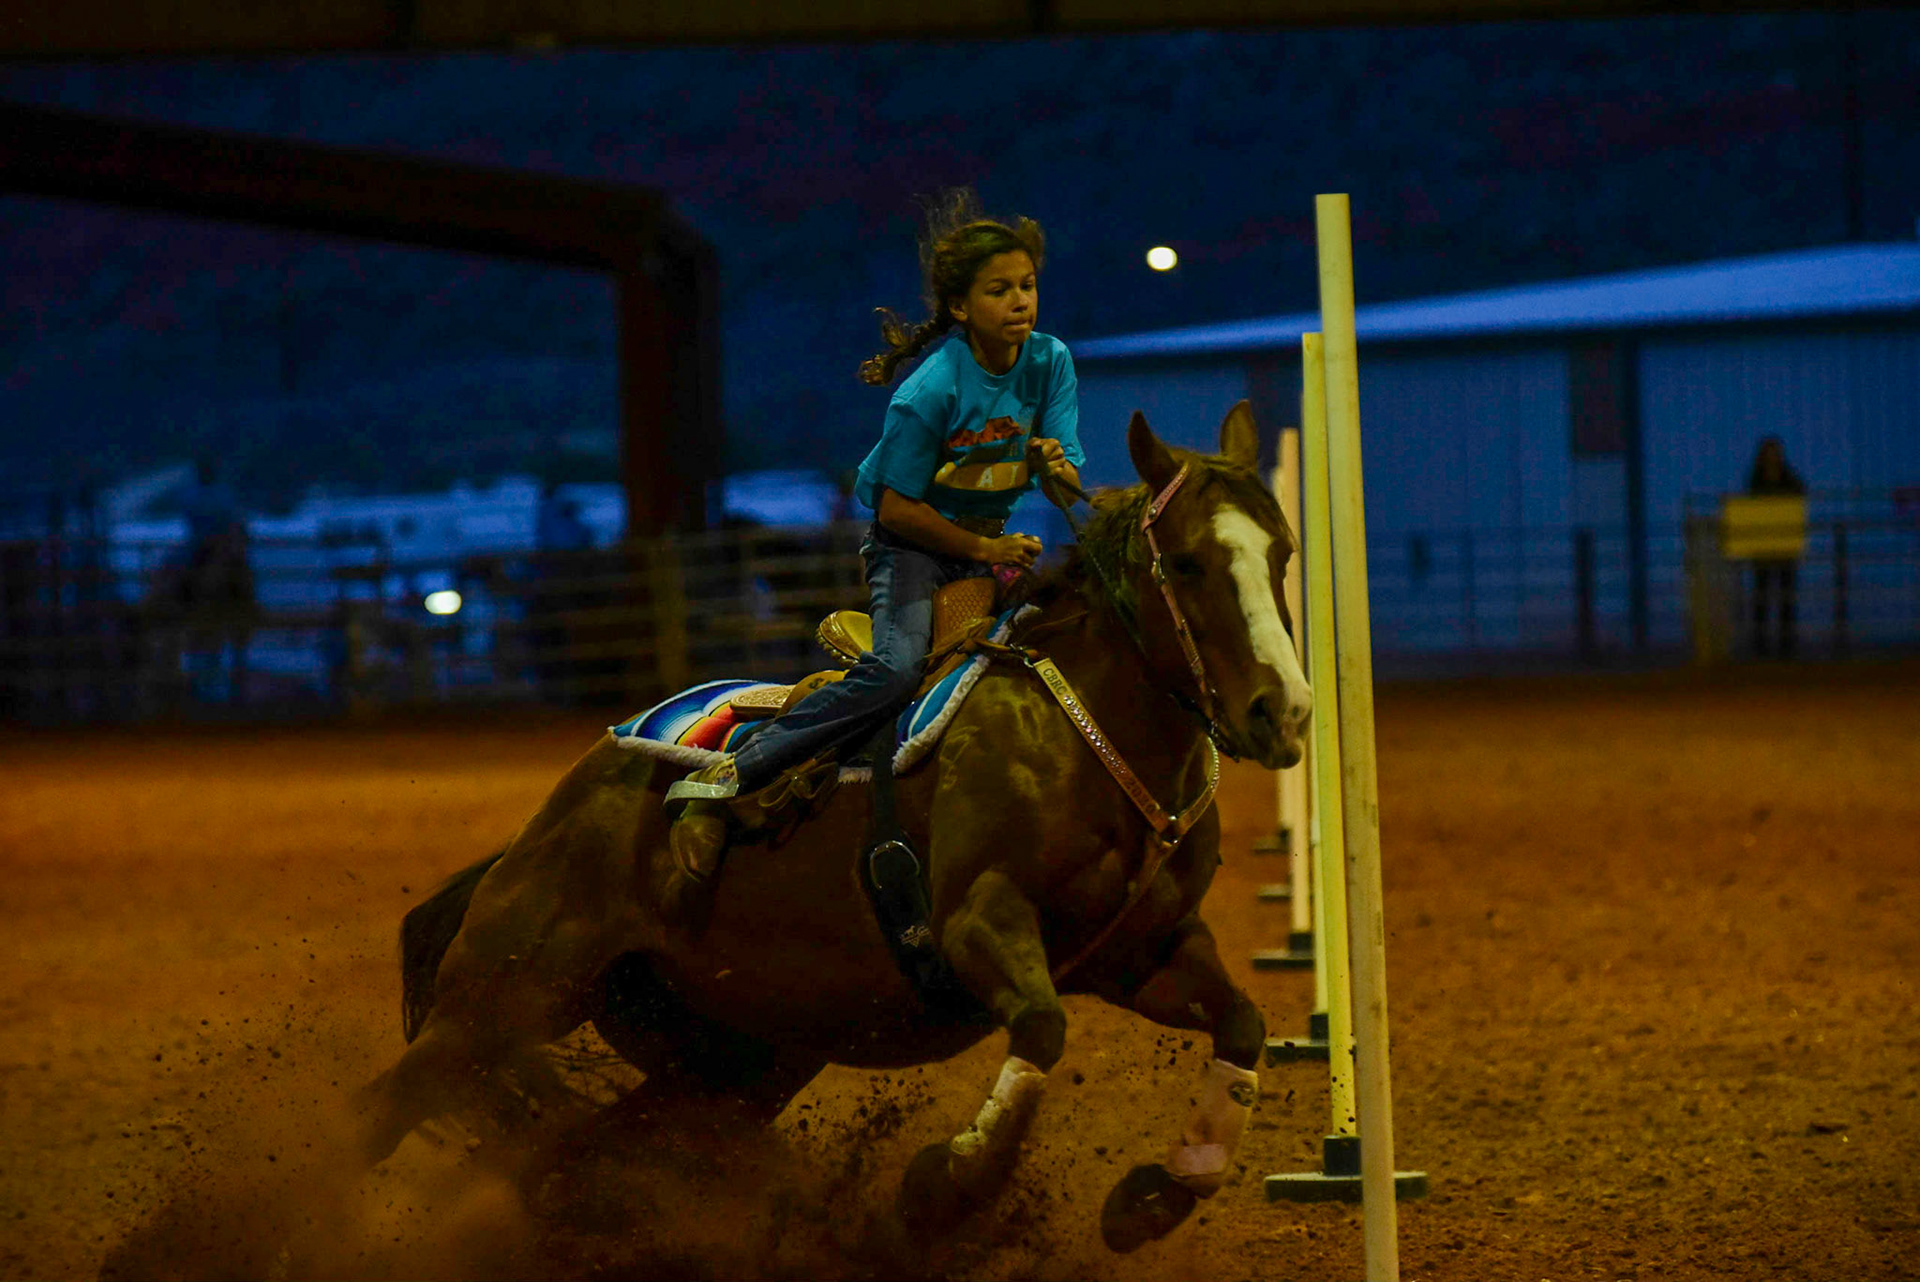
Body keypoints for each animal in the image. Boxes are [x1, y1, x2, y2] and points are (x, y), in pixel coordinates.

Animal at [351, 402, 1314, 1255]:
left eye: (1283, 553)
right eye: (1186, 562)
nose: (1285, 712)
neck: (1084, 726)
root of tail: (554, 815)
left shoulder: (1143, 951)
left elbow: (1242, 1026)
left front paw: (1152, 1201)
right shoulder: (979, 920)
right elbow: (1041, 1031)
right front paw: (940, 1193)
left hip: (729, 1062)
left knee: (573, 1158)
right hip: (506, 994)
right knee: (381, 1114)